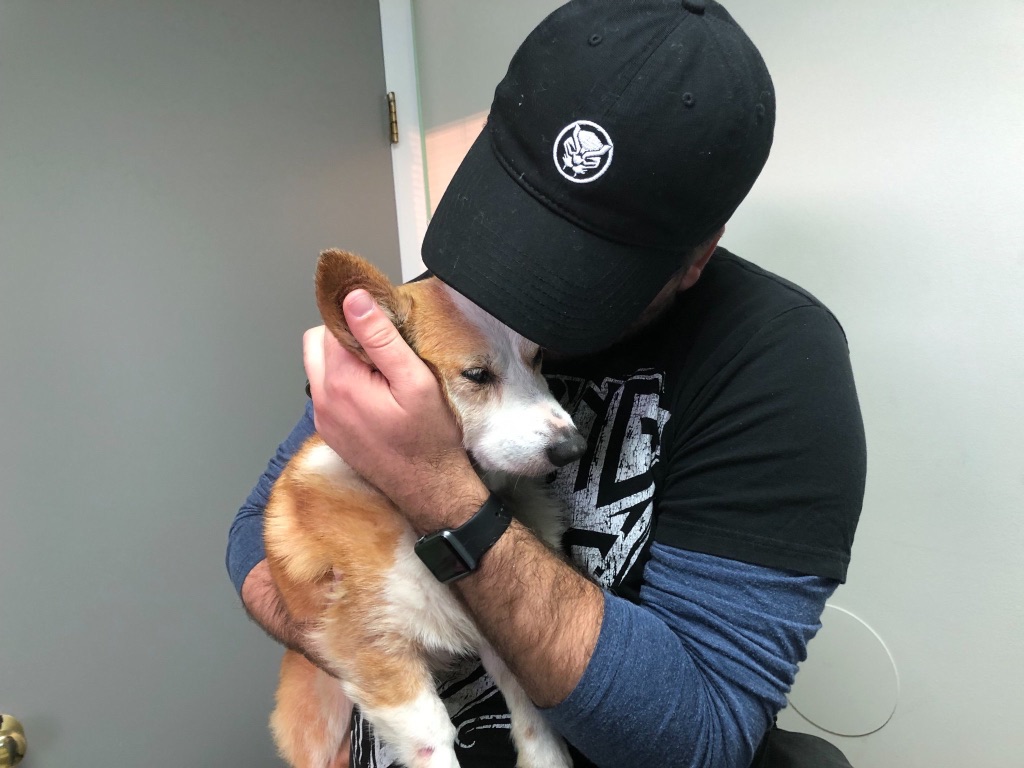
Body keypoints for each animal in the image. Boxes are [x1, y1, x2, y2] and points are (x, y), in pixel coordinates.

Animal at [264, 252, 585, 768]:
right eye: (476, 375)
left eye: (536, 358)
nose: (573, 448)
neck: (414, 521)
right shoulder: (379, 658)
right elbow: (434, 741)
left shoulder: (499, 636)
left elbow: (533, 721)